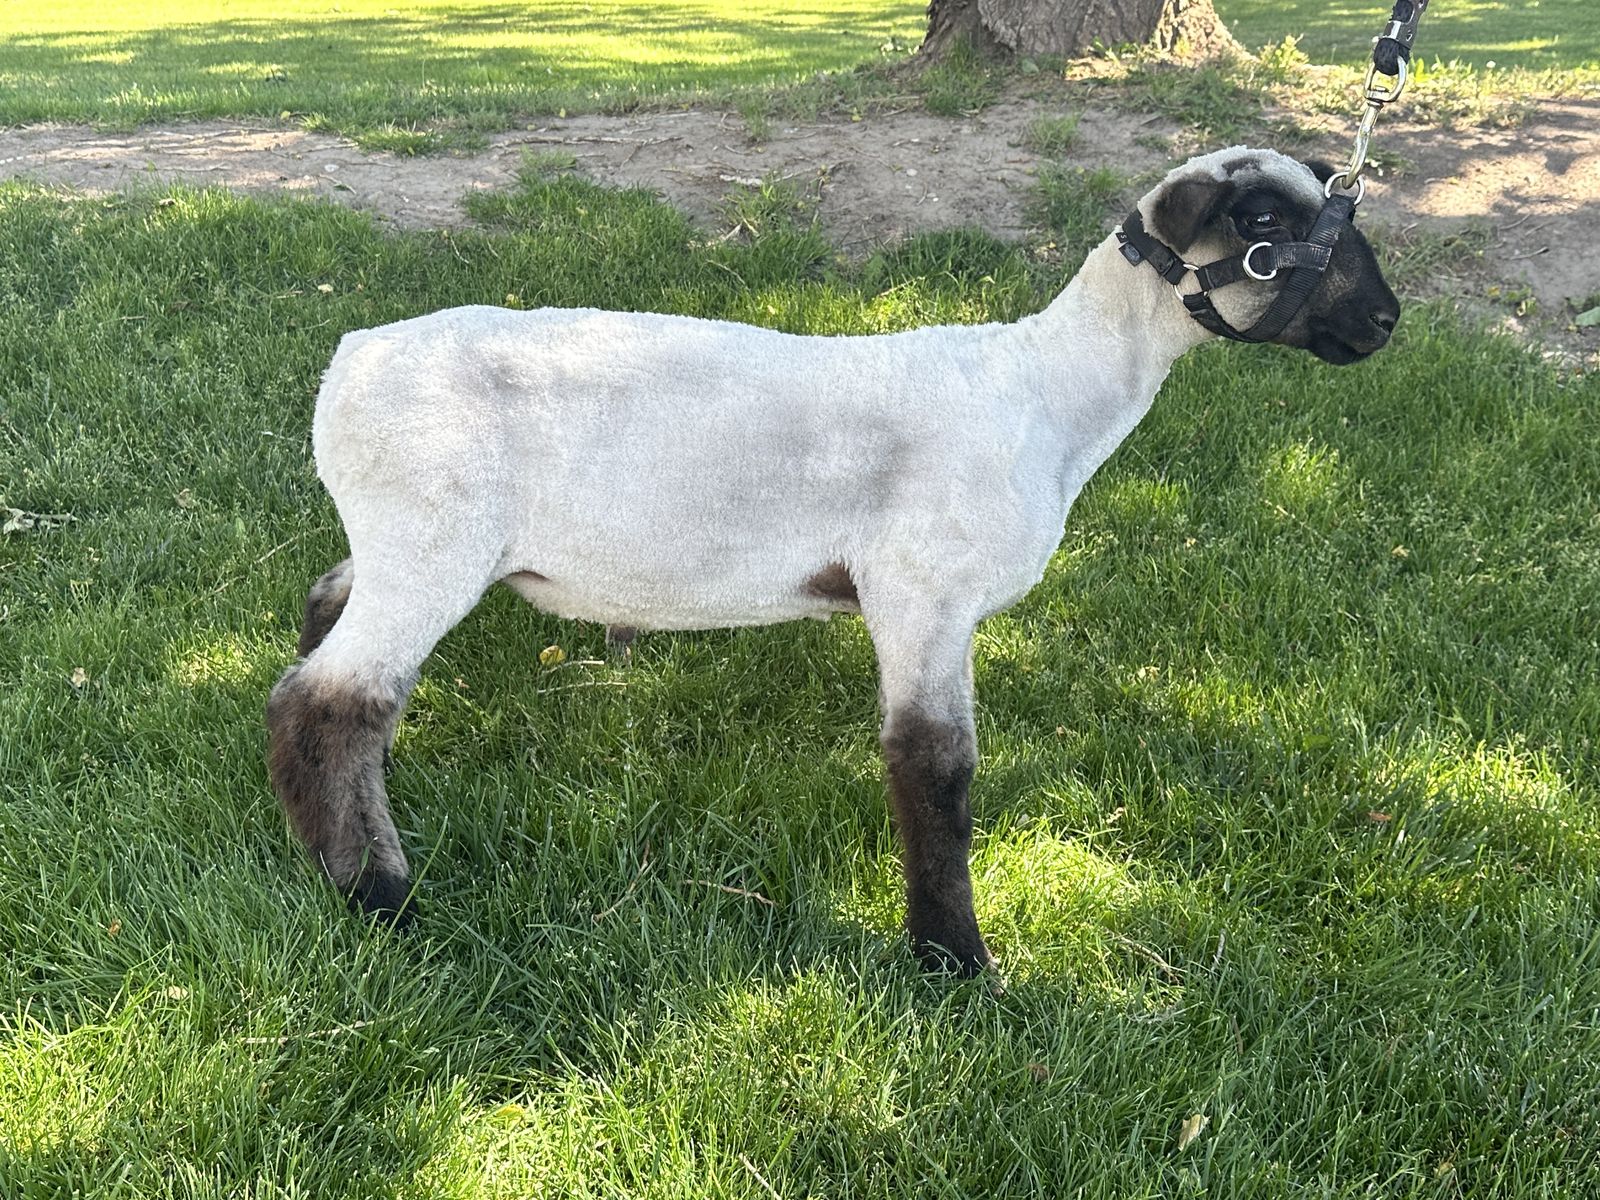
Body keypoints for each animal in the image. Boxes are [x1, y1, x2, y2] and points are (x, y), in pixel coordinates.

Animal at [267, 146, 1400, 975]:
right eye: (1263, 228)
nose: (1383, 321)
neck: (1045, 396)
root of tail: (349, 359)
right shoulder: (921, 591)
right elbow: (934, 769)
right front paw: (954, 962)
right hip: (434, 537)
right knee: (328, 702)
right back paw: (379, 898)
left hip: (399, 539)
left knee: (324, 625)